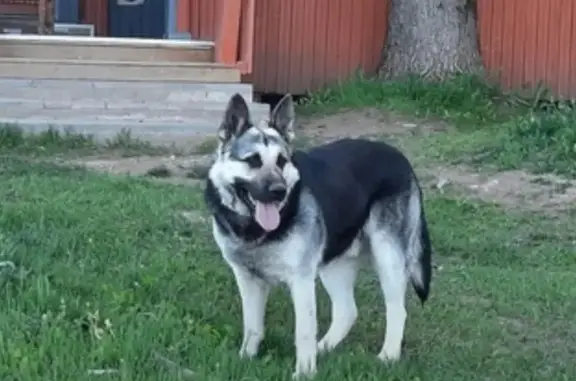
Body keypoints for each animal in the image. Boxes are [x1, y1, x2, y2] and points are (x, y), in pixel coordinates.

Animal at [205, 93, 430, 378]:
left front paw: (304, 373)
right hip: (334, 265)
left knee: (397, 310)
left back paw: (387, 356)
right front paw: (246, 358)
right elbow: (252, 325)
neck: (255, 230)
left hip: (387, 256)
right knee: (347, 311)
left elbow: (303, 332)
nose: (279, 191)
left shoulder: (300, 280)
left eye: (281, 161)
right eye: (253, 160)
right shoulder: (247, 278)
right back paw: (323, 348)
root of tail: (401, 157)